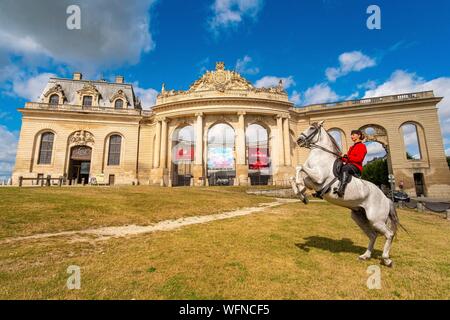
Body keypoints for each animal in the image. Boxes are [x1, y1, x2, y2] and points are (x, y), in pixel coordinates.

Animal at [292, 121, 400, 266]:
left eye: (312, 128)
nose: (299, 140)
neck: (321, 156)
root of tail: (386, 198)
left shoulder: (318, 177)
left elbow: (299, 168)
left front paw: (300, 188)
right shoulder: (312, 182)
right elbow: (297, 181)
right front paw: (302, 196)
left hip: (376, 219)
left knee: (389, 234)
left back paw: (386, 259)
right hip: (359, 216)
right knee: (373, 235)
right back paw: (365, 255)